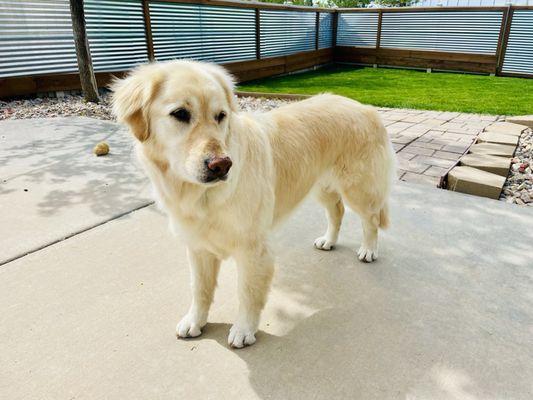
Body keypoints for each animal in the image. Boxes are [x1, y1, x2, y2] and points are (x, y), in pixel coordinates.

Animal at [111, 60, 394, 346]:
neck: (201, 194)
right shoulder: (198, 247)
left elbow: (247, 292)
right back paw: (329, 241)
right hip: (320, 186)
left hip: (358, 189)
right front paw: (195, 321)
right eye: (180, 113)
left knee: (370, 219)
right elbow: (199, 289)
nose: (222, 165)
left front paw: (244, 330)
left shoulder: (253, 249)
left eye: (221, 116)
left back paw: (368, 250)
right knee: (336, 211)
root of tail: (366, 107)